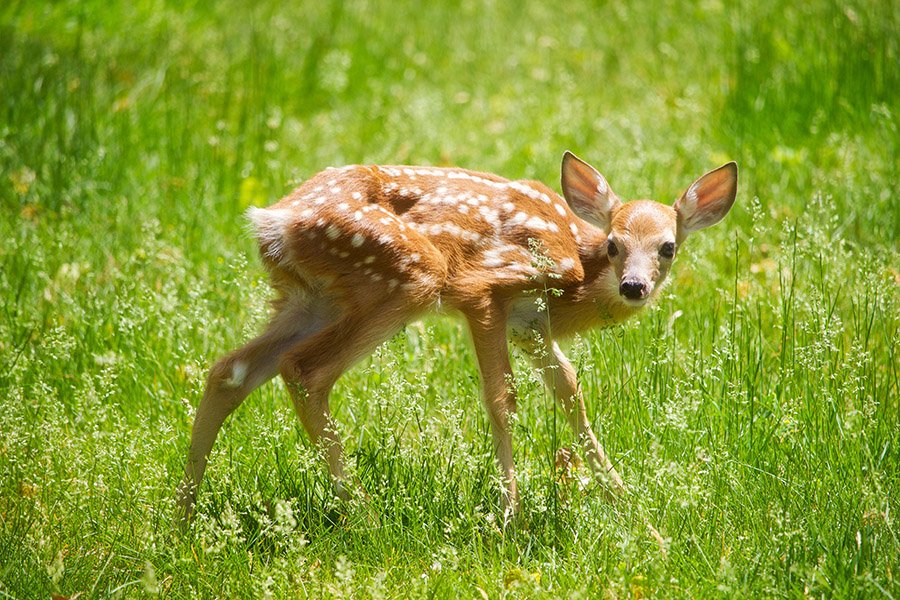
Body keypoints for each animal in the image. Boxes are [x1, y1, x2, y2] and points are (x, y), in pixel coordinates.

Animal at [176, 152, 738, 524]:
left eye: (668, 247)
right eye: (615, 244)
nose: (634, 286)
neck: (575, 270)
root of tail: (273, 220)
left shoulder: (530, 324)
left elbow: (570, 390)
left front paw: (628, 506)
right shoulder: (484, 290)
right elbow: (502, 396)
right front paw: (510, 517)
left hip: (314, 297)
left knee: (231, 370)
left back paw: (183, 515)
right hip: (406, 275)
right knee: (305, 370)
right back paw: (364, 516)